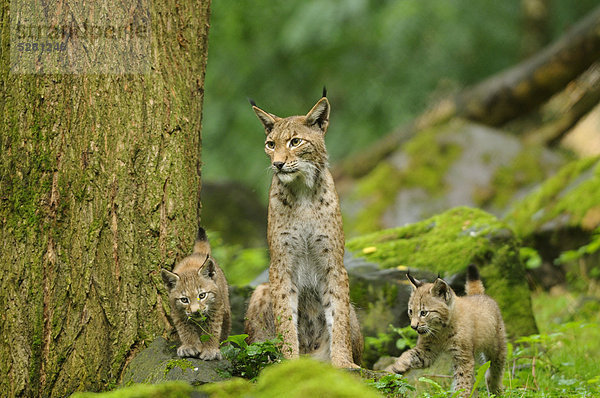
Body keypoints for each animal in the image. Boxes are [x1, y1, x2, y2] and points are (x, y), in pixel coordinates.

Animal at [161, 227, 231, 360]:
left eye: (202, 296)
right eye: (184, 300)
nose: (195, 311)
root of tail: (198, 253)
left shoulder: (216, 308)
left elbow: (212, 330)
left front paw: (210, 350)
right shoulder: (177, 312)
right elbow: (185, 329)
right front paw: (190, 346)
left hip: (225, 304)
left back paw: (225, 346)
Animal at [243, 89, 360, 366]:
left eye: (295, 142)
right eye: (270, 144)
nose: (277, 164)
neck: (303, 191)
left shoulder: (333, 262)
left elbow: (338, 314)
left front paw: (343, 362)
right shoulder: (281, 263)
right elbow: (285, 316)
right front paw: (289, 363)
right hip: (260, 291)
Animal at [384, 264, 506, 398]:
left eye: (423, 313)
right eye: (411, 311)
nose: (413, 327)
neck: (441, 330)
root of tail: (478, 294)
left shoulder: (463, 357)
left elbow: (463, 380)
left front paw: (460, 395)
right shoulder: (427, 351)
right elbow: (409, 355)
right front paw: (392, 369)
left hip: (496, 346)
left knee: (494, 370)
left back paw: (496, 390)